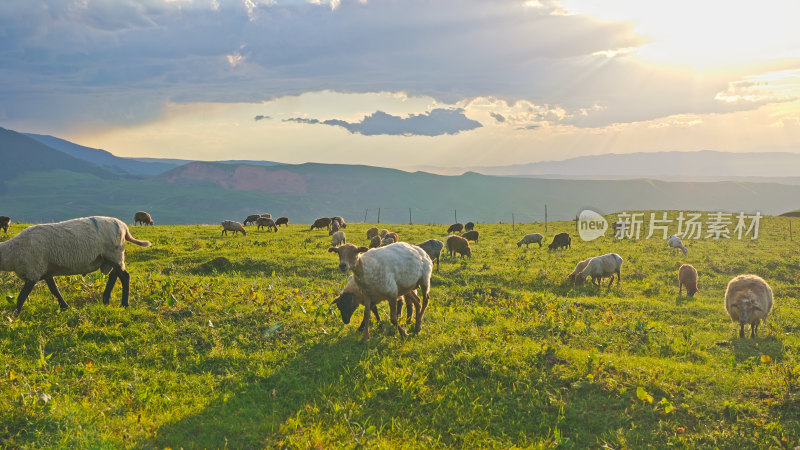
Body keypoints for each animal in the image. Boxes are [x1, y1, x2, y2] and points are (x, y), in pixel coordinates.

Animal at [0, 216, 152, 314]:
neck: (12, 252)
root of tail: (123, 226)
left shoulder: (34, 270)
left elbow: (22, 296)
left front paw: (14, 316)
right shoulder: (45, 270)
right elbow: (54, 290)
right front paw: (64, 307)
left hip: (114, 253)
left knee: (125, 277)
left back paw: (124, 304)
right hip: (109, 257)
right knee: (114, 275)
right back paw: (106, 300)